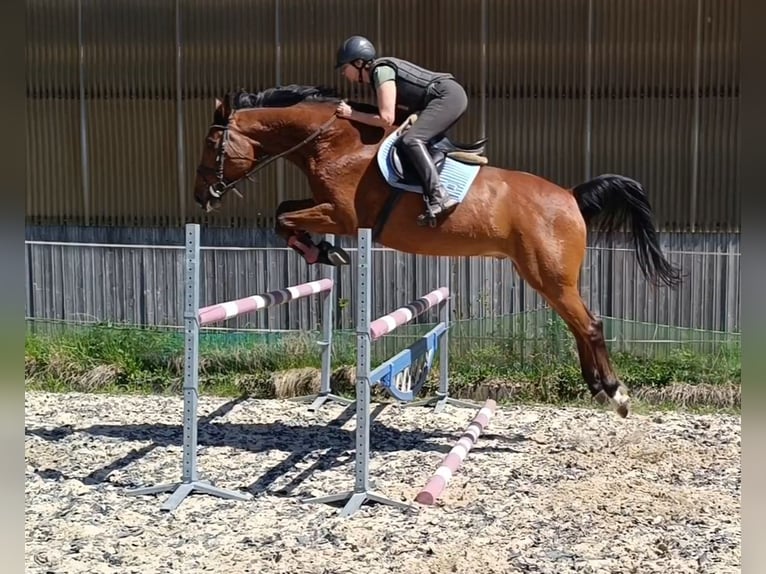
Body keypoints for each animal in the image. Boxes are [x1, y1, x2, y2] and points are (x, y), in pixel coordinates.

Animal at [193, 84, 682, 419]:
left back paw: (615, 393)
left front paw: (324, 253)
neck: (334, 141)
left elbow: (284, 218)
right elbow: (283, 212)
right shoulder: (328, 209)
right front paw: (325, 253)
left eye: (212, 144)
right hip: (548, 278)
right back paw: (596, 388)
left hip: (549, 275)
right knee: (580, 325)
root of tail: (571, 197)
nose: (201, 197)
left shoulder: (342, 215)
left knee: (591, 324)